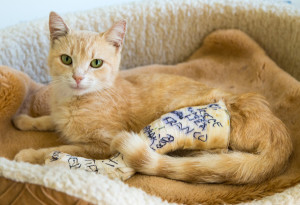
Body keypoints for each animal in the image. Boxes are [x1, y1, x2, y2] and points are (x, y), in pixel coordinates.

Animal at [12, 11, 292, 184]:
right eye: (67, 59)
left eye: (96, 63)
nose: (78, 77)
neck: (72, 101)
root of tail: (279, 131)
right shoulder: (59, 116)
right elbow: (48, 120)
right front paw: (26, 120)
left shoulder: (102, 144)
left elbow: (62, 148)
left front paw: (29, 156)